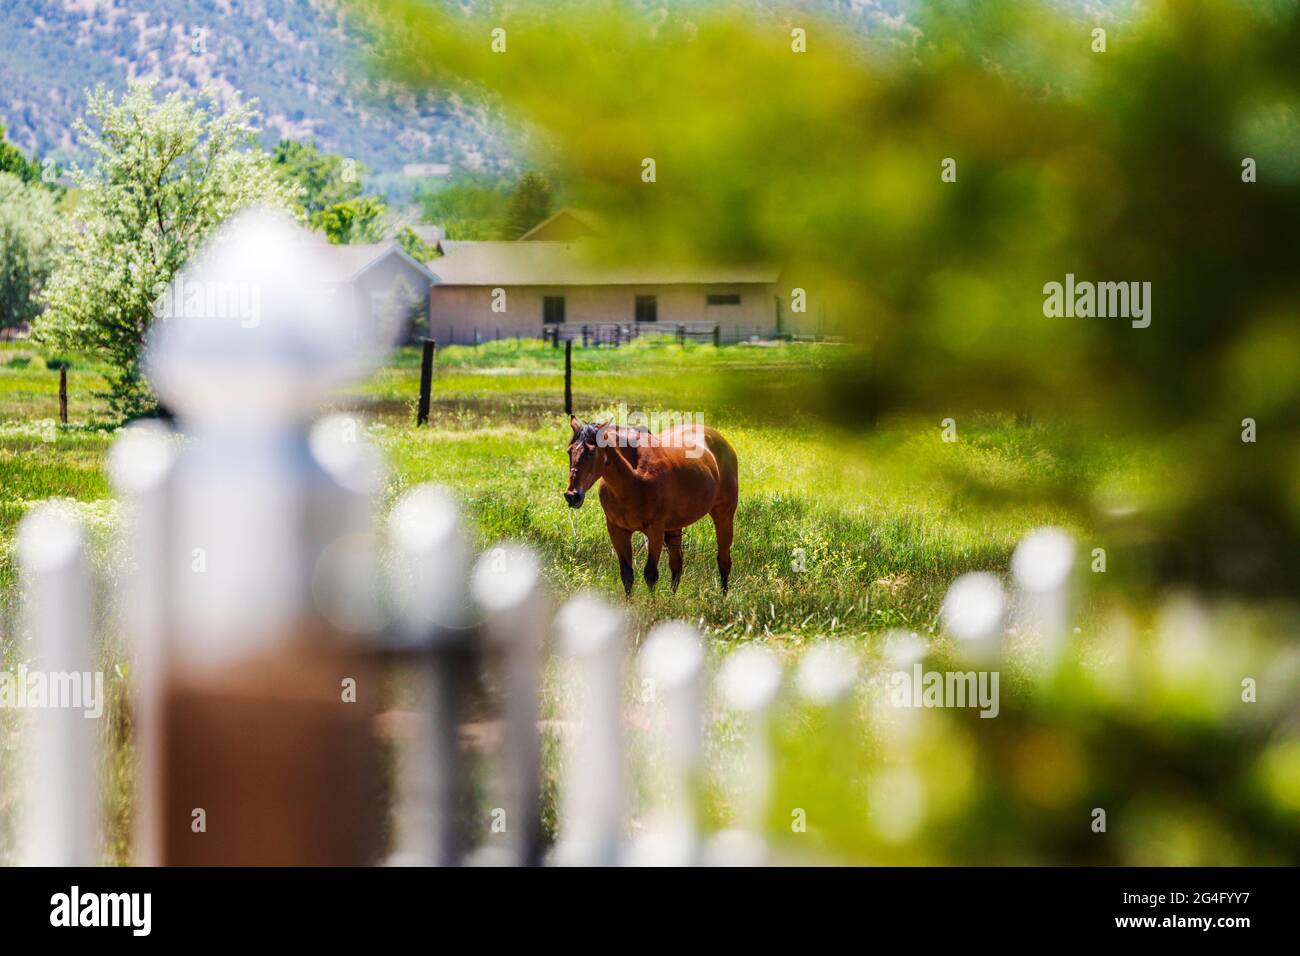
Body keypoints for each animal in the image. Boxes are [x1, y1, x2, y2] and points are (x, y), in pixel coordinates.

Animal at [564, 415, 739, 597]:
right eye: (569, 451)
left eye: (591, 452)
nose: (572, 495)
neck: (632, 480)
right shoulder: (617, 531)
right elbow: (627, 574)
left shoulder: (655, 530)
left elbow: (650, 574)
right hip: (674, 527)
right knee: (677, 564)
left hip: (724, 516)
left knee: (723, 560)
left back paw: (723, 599)